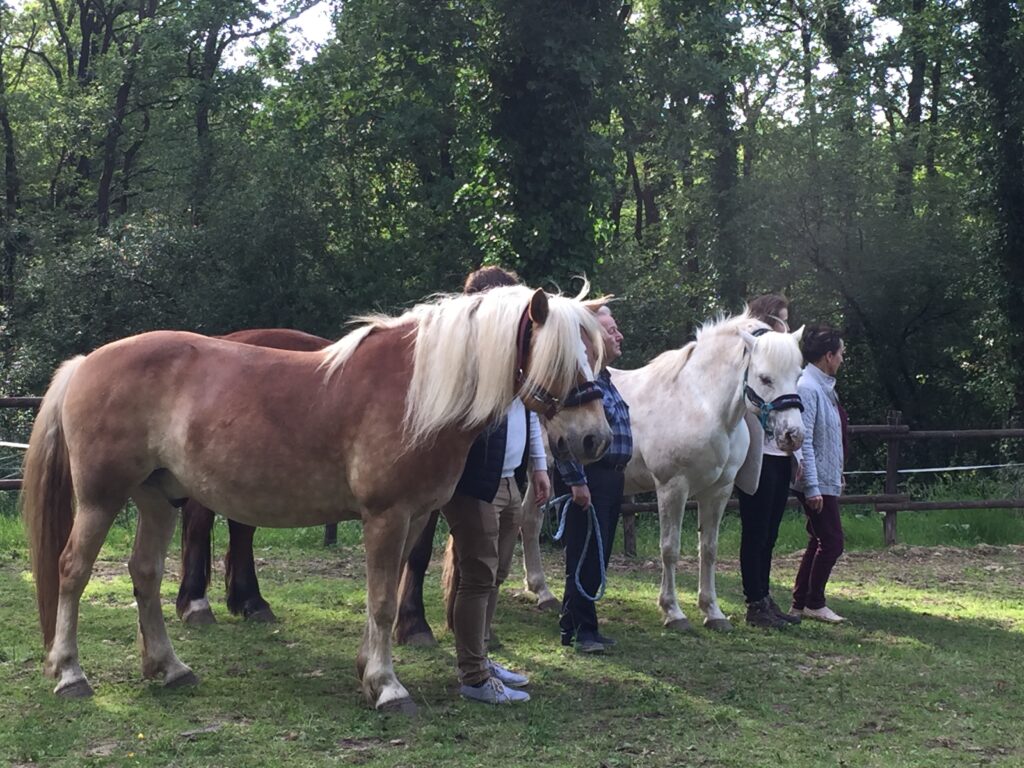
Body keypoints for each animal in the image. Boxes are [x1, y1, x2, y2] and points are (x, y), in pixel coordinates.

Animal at [393, 312, 805, 644]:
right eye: (765, 377)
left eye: (798, 374)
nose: (793, 435)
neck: (700, 402)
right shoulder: (672, 487)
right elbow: (670, 550)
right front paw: (673, 612)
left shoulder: (718, 492)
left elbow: (710, 551)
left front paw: (713, 612)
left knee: (529, 520)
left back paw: (541, 592)